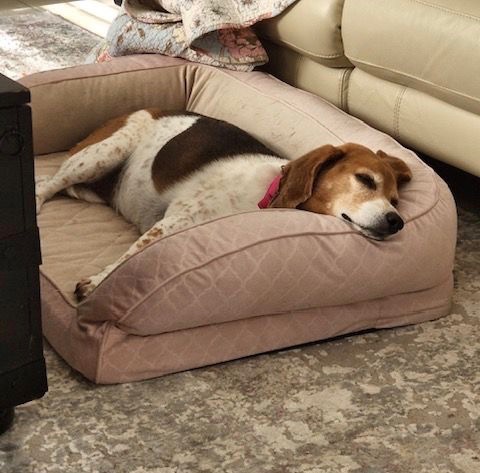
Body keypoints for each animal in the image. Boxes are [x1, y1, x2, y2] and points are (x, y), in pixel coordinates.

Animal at [36, 109, 412, 298]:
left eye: (395, 200)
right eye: (365, 180)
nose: (397, 221)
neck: (264, 197)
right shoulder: (173, 222)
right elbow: (132, 256)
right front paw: (99, 281)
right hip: (103, 153)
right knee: (45, 184)